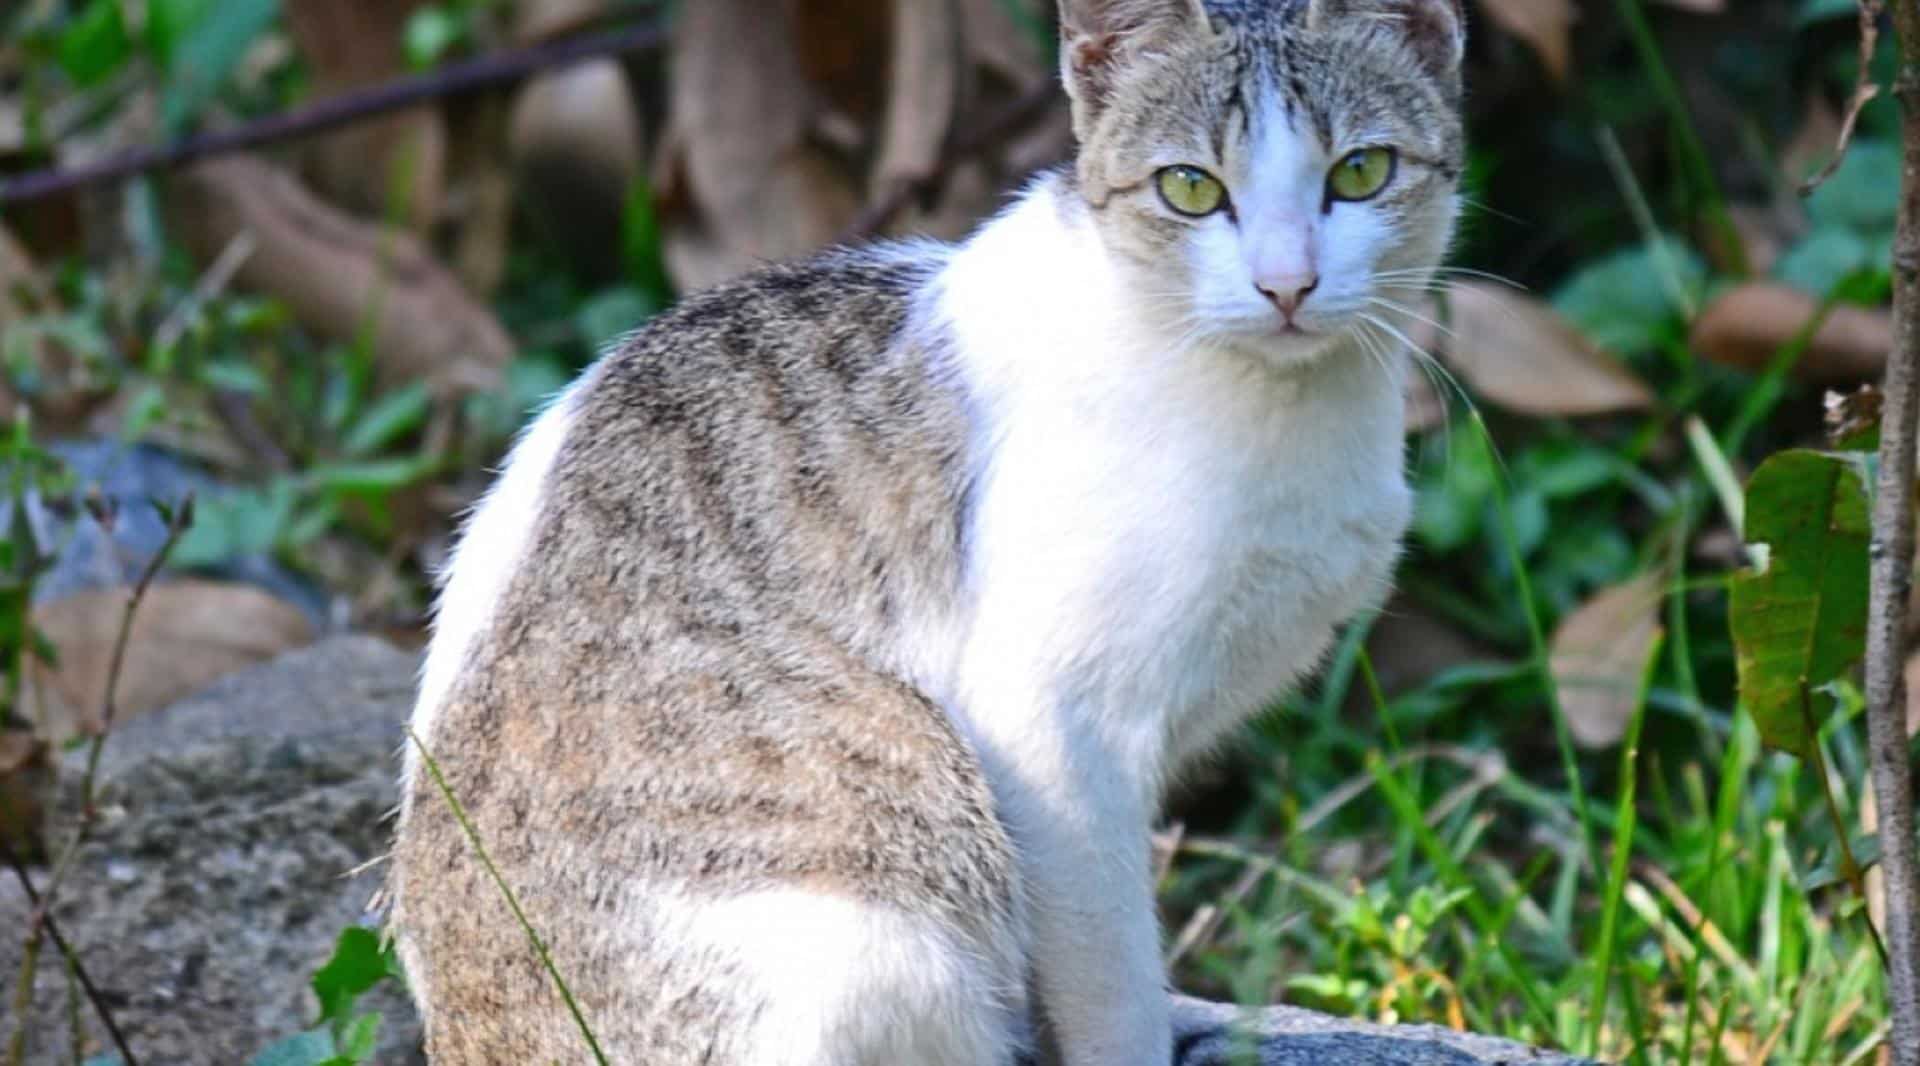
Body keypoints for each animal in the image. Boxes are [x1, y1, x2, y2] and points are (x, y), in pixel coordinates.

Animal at [393, 0, 1466, 1060]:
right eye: (1192, 189)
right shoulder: (1052, 734)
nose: (1287, 283)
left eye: (1360, 172)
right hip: (879, 923)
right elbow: (1107, 970)